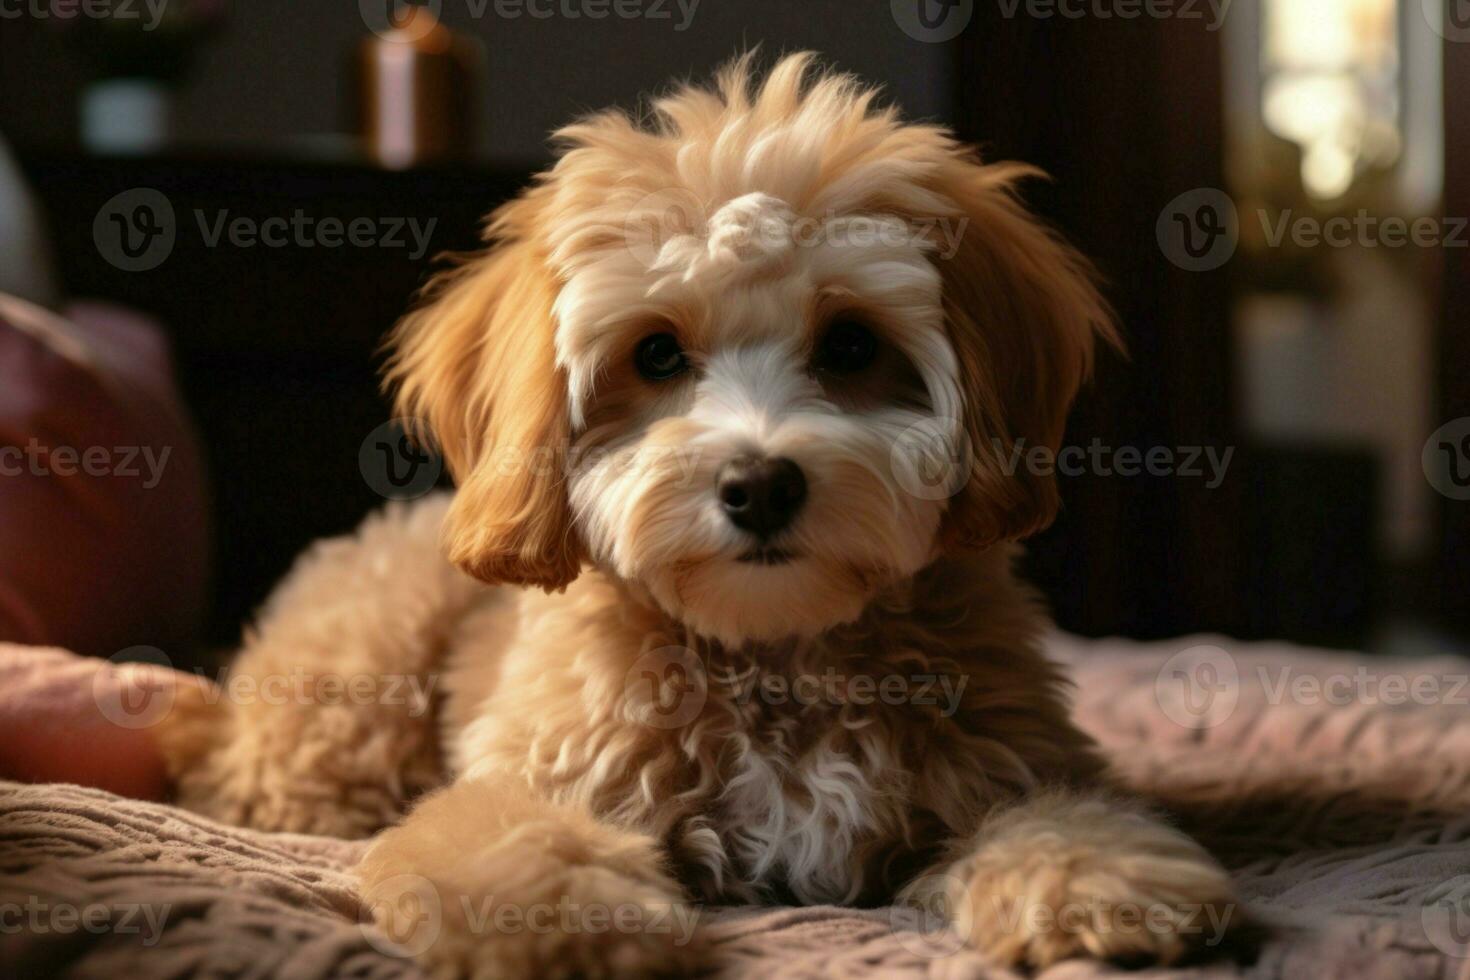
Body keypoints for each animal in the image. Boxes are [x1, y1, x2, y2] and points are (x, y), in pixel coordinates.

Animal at [160, 53, 1240, 980]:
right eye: (656, 353)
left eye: (852, 345)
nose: (759, 485)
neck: (774, 651)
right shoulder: (538, 774)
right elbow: (512, 836)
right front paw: (568, 926)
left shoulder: (998, 755)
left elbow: (1052, 812)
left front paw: (1098, 874)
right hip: (349, 692)